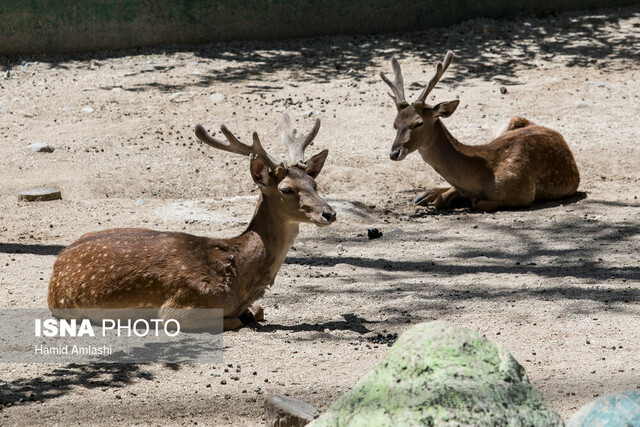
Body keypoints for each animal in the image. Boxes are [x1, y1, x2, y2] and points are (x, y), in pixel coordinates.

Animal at [48, 113, 338, 332]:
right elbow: (235, 320)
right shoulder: (181, 307)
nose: (329, 213)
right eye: (287, 189)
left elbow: (259, 311)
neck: (237, 276)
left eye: (314, 184)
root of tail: (56, 267)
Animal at [380, 51, 580, 212]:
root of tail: (556, 132)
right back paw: (425, 195)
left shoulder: (524, 194)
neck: (485, 176)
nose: (394, 153)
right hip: (504, 124)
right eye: (395, 124)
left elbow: (476, 202)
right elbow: (445, 198)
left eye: (418, 123)